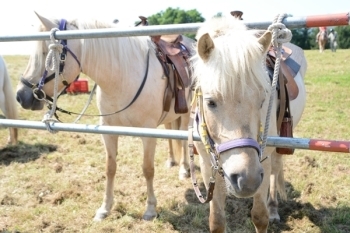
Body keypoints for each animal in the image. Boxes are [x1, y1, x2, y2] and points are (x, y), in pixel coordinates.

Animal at [189, 16, 306, 233]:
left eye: (262, 100)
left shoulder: (263, 159)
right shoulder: (207, 164)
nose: (247, 180)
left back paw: (274, 208)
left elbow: (260, 216)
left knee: (276, 170)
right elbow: (216, 221)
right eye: (210, 102)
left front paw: (267, 212)